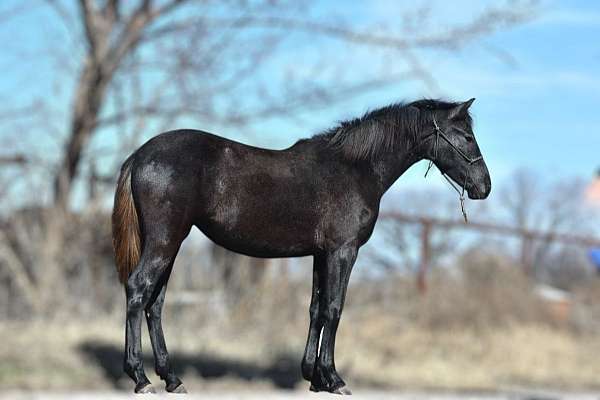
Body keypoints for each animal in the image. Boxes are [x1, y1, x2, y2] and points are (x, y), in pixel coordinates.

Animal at [112, 97, 492, 394]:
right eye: (466, 135)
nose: (484, 187)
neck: (355, 168)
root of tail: (141, 154)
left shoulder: (321, 255)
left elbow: (315, 309)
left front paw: (313, 377)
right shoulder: (343, 252)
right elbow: (334, 309)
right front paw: (334, 379)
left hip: (170, 243)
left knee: (156, 302)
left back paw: (172, 379)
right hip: (165, 240)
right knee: (138, 289)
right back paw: (140, 378)